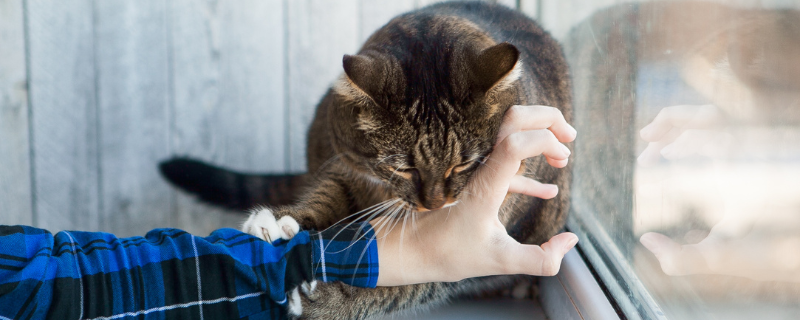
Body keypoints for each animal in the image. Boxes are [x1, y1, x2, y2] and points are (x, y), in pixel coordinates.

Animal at [158, 1, 568, 318]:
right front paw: (280, 221)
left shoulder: (468, 249)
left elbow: (406, 284)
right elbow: (327, 195)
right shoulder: (346, 164)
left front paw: (320, 300)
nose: (435, 204)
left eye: (463, 165)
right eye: (403, 167)